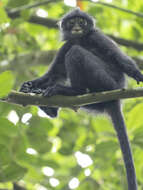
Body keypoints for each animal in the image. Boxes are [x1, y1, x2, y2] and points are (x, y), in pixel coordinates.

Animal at [19, 8, 143, 189]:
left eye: (81, 22)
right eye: (72, 22)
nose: (77, 27)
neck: (81, 38)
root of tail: (115, 98)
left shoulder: (96, 36)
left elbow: (121, 59)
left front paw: (138, 75)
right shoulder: (66, 44)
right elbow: (54, 74)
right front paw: (27, 86)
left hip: (107, 81)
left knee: (76, 52)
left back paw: (72, 91)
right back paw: (50, 106)